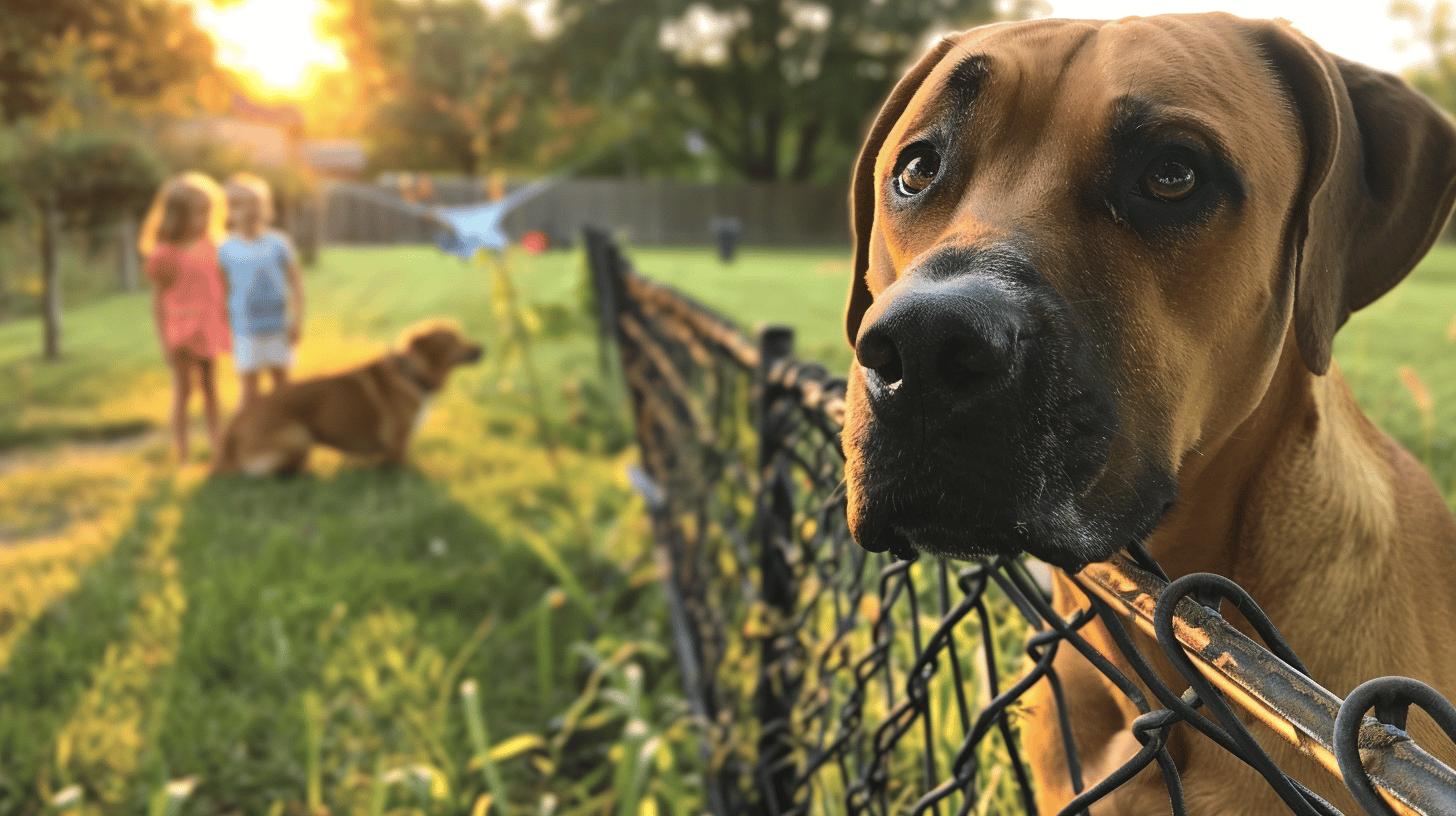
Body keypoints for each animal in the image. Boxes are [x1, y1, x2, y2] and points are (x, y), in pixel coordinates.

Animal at [212, 319, 483, 475]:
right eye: (453, 339)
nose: (482, 348)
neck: (412, 373)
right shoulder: (398, 447)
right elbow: (405, 469)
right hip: (299, 435)